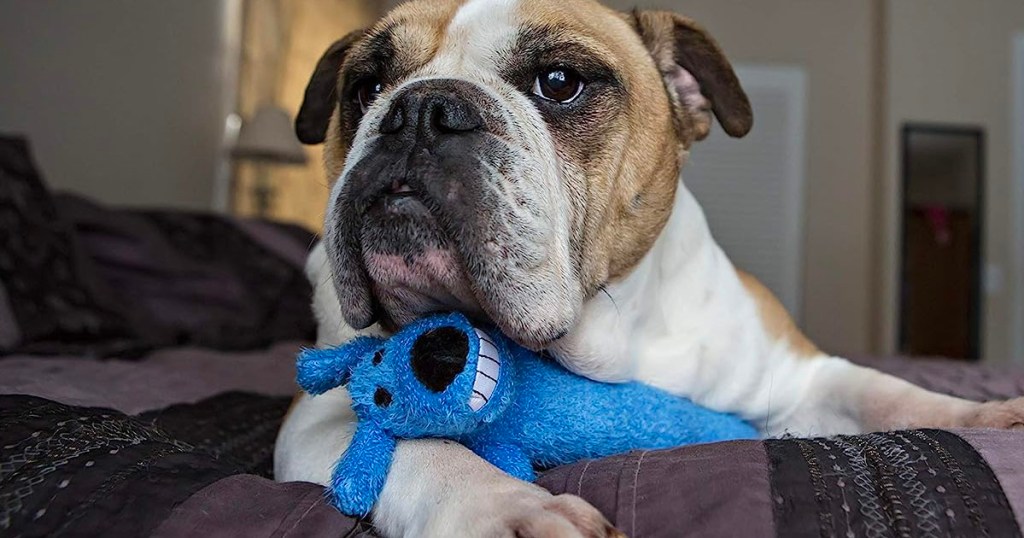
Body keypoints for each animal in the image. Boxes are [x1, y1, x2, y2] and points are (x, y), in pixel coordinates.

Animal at [272, 2, 1024, 532]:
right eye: (365, 86)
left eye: (560, 82)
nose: (419, 109)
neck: (610, 331)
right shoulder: (320, 418)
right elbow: (417, 449)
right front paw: (505, 506)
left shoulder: (803, 378)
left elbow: (887, 393)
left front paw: (986, 415)